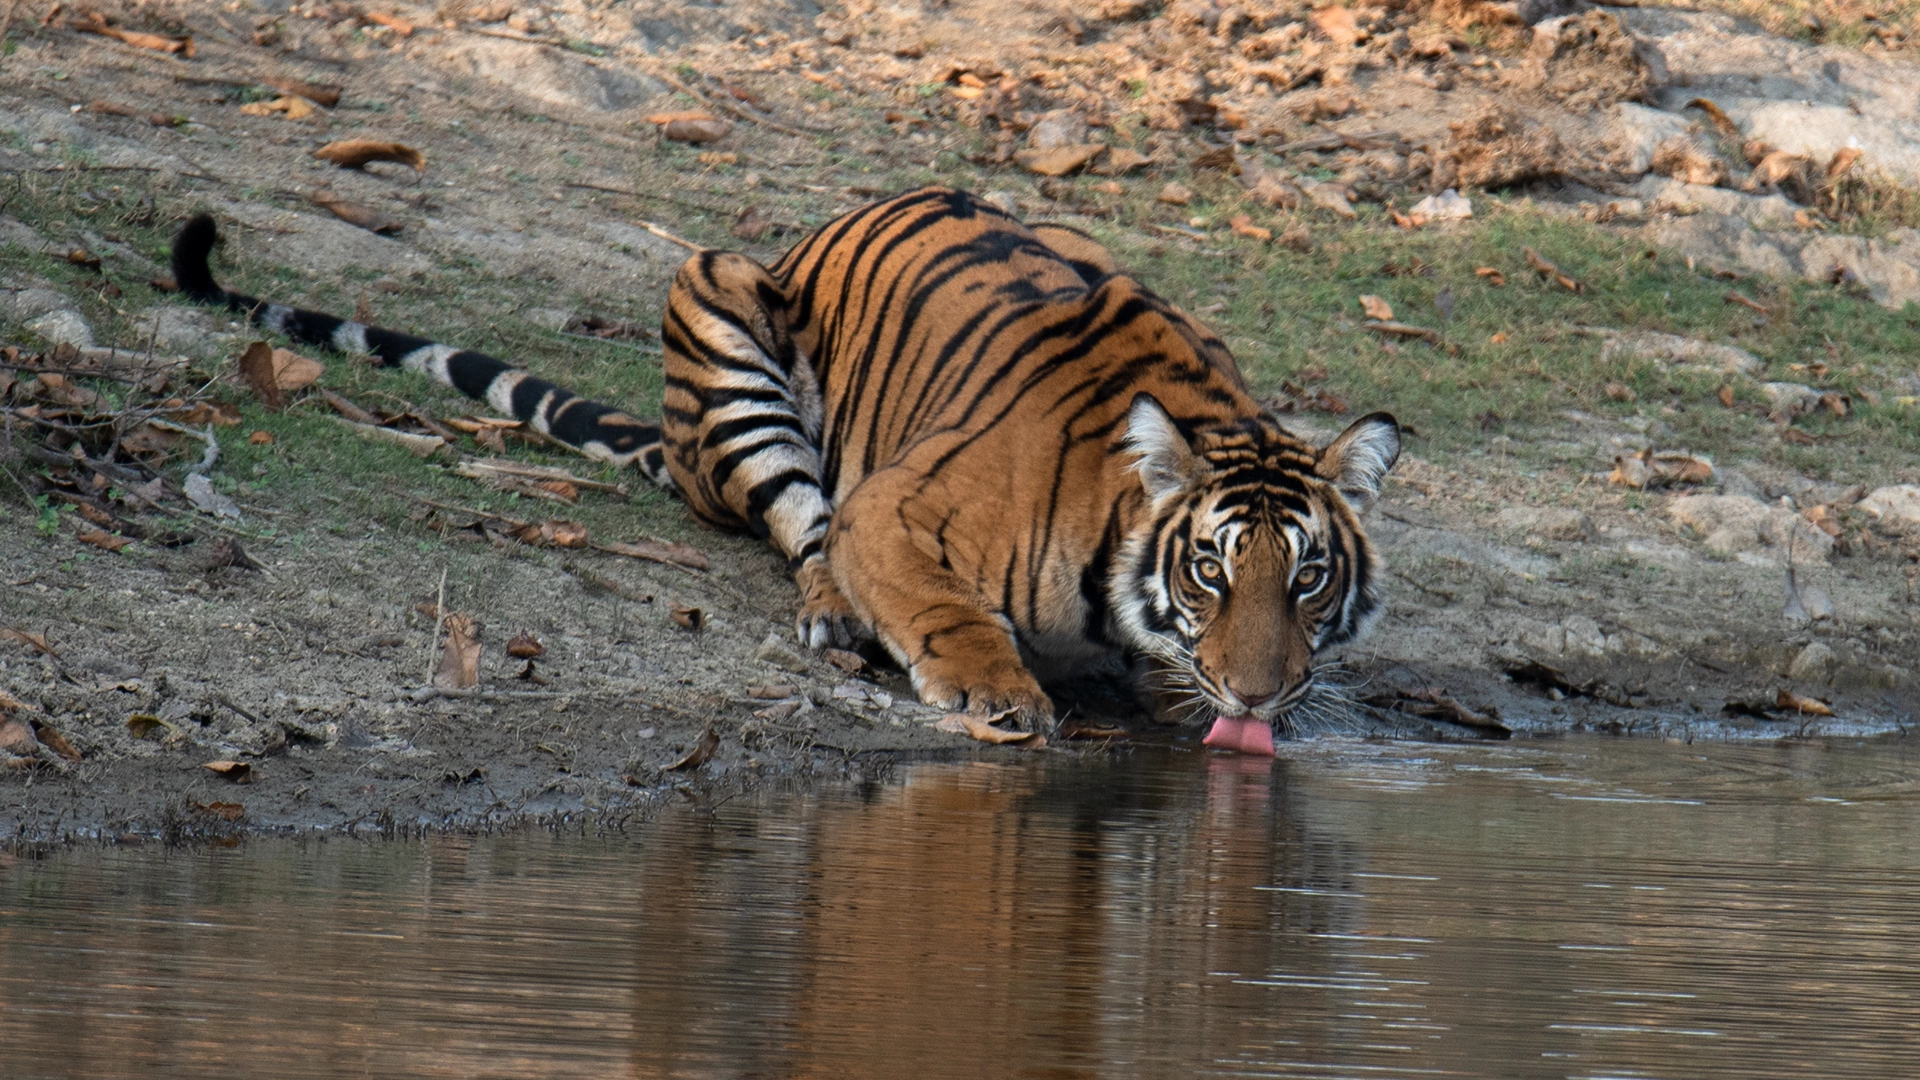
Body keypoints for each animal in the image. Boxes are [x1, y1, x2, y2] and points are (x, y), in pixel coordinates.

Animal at [172, 189, 1405, 734]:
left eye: (1307, 577)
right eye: (1209, 570)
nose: (1261, 694)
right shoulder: (895, 509)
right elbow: (940, 608)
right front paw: (997, 690)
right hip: (722, 315)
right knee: (802, 530)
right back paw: (838, 615)